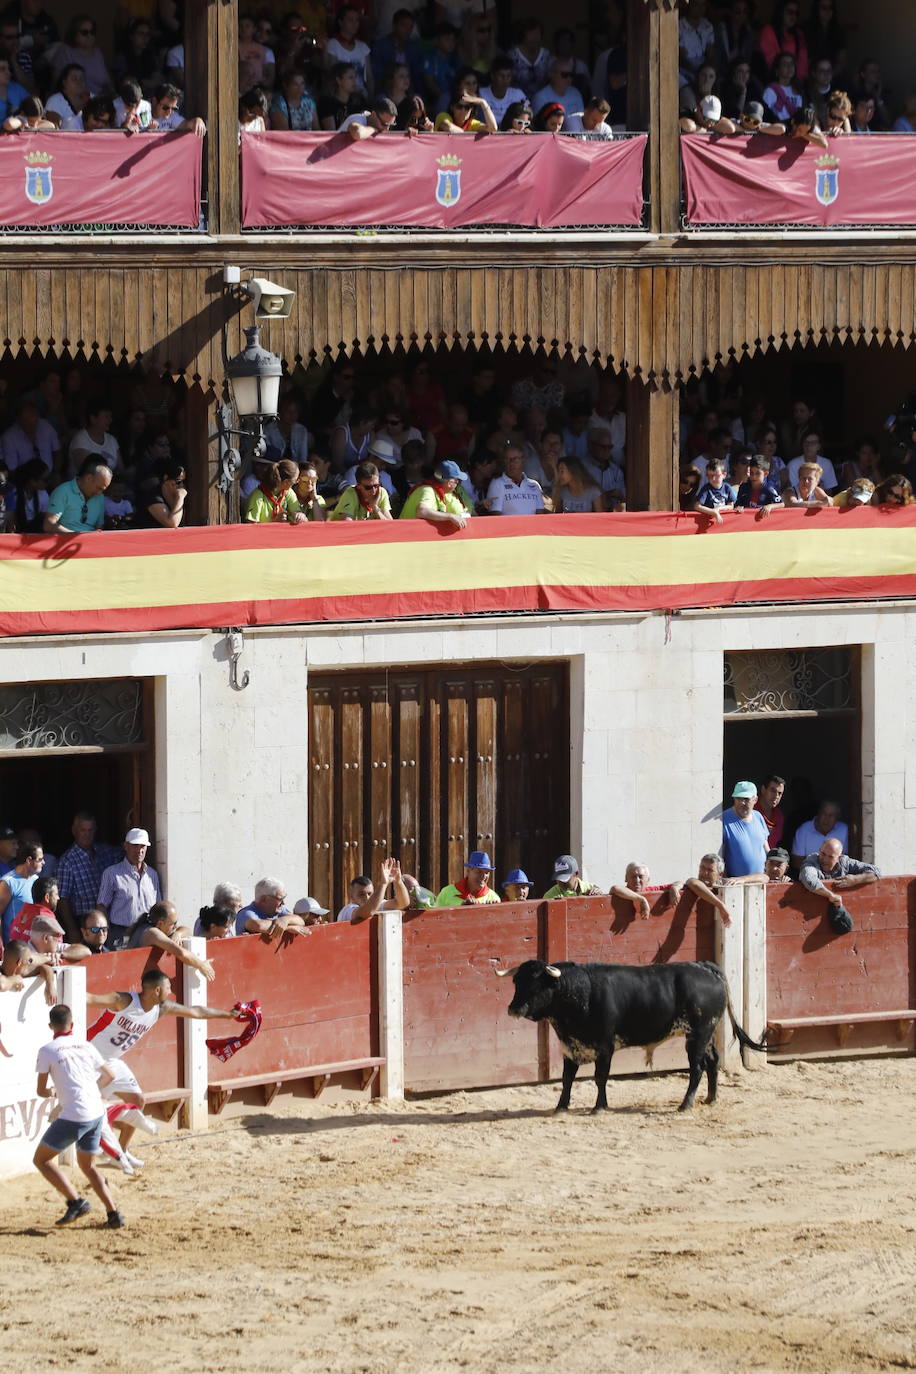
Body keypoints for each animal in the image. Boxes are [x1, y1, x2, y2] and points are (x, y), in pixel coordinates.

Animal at [494, 961, 769, 1110]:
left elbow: (600, 1078)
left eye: (536, 984)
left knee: (697, 1067)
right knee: (713, 1061)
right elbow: (566, 1079)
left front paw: (599, 1107)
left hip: (698, 1035)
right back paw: (711, 1099)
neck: (579, 993)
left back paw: (686, 1104)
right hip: (707, 1033)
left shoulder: (605, 1047)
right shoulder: (569, 1047)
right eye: (516, 982)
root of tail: (706, 967)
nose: (513, 1009)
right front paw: (561, 1106)